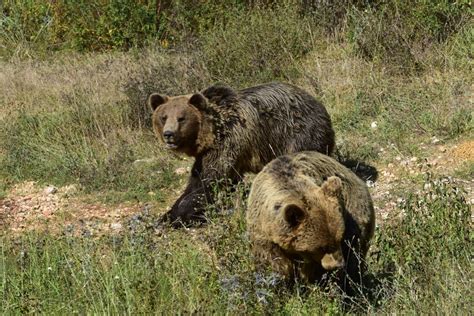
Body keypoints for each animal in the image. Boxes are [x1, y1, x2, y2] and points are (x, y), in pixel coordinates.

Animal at [150, 81, 336, 225]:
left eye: (181, 118)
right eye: (164, 117)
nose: (169, 134)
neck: (211, 133)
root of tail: (319, 104)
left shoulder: (229, 142)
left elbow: (212, 181)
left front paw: (178, 216)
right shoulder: (207, 155)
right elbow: (198, 181)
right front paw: (167, 215)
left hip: (297, 134)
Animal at [246, 151, 376, 292]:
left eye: (339, 239)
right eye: (322, 247)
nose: (338, 264)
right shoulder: (263, 232)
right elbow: (272, 262)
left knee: (354, 255)